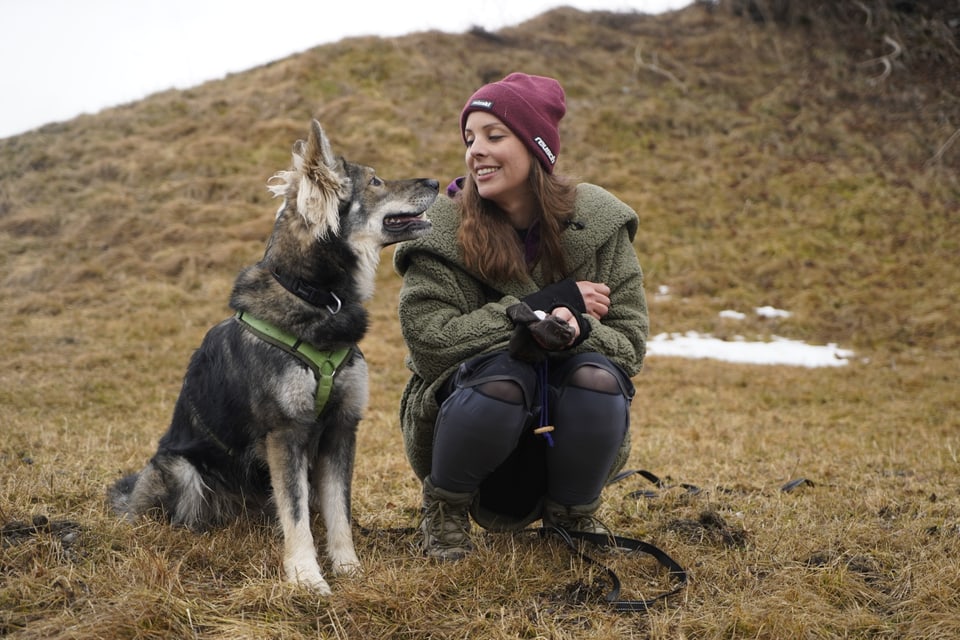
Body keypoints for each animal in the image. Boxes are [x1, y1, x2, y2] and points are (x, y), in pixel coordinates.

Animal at [109, 121, 436, 596]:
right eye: (375, 181)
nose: (435, 181)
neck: (317, 297)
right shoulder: (286, 434)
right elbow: (296, 515)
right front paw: (307, 577)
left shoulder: (341, 428)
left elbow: (338, 511)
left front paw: (348, 568)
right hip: (182, 470)